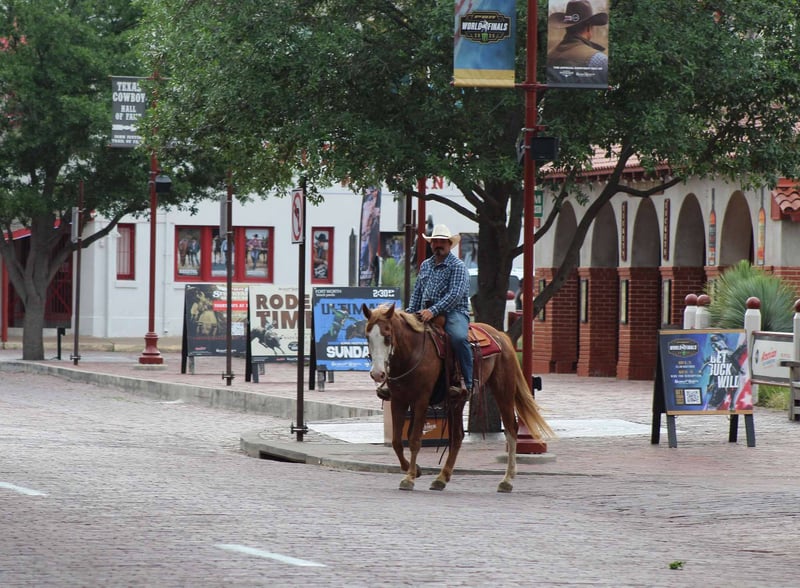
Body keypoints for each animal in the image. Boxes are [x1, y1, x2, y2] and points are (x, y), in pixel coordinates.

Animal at [362, 303, 553, 493]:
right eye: (367, 337)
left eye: (387, 337)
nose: (377, 374)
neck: (412, 353)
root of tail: (501, 336)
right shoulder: (398, 400)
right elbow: (396, 441)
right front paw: (415, 470)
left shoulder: (421, 399)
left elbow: (415, 439)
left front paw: (409, 478)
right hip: (457, 401)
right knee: (458, 436)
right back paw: (441, 478)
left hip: (503, 391)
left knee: (511, 429)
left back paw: (507, 480)